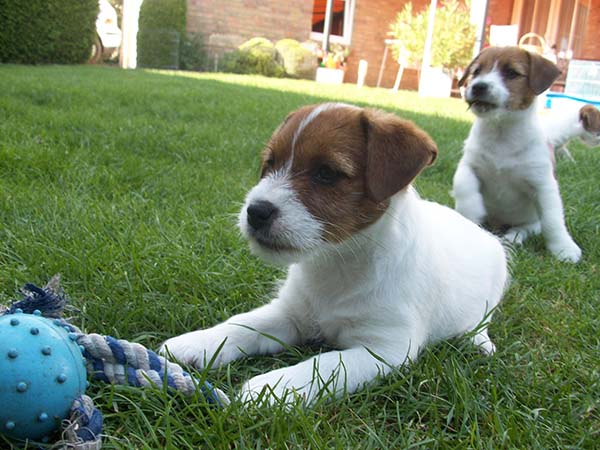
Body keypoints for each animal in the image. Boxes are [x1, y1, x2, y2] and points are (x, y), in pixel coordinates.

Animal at [161, 103, 509, 405]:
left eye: (326, 173)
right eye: (270, 164)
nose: (255, 212)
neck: (338, 262)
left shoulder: (384, 348)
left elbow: (325, 364)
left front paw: (274, 387)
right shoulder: (290, 314)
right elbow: (243, 324)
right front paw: (199, 342)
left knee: (483, 321)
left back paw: (480, 342)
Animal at [453, 46, 600, 263]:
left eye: (512, 73)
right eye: (476, 71)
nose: (478, 86)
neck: (502, 134)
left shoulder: (543, 185)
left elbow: (552, 220)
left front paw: (563, 248)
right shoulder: (469, 165)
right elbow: (464, 186)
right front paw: (472, 211)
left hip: (532, 221)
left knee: (526, 228)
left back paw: (514, 237)